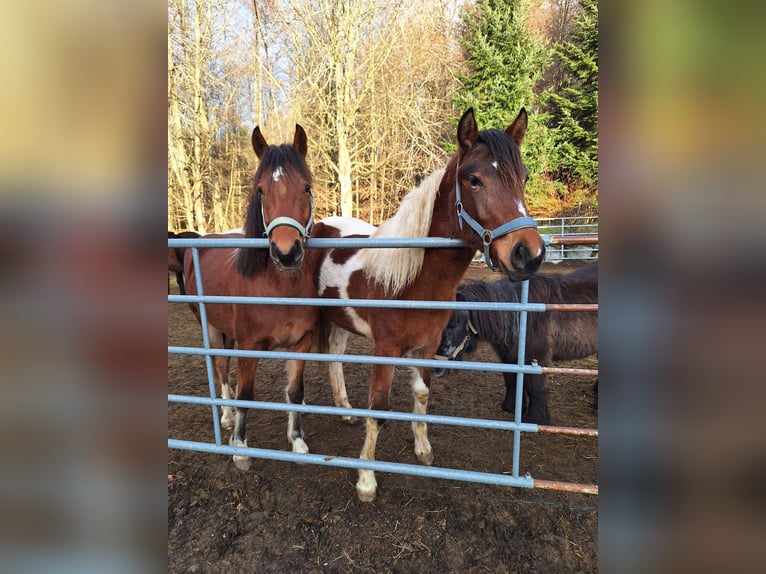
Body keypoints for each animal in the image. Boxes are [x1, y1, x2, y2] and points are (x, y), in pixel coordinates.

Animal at [183, 124, 319, 470]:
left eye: (306, 187)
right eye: (260, 190)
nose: (286, 254)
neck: (279, 289)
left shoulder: (301, 343)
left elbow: (295, 391)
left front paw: (297, 442)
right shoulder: (249, 346)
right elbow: (245, 394)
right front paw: (241, 448)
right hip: (212, 329)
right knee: (221, 370)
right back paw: (227, 418)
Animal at [309, 108, 545, 502]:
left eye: (523, 178)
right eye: (474, 179)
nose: (528, 254)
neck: (413, 279)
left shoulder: (428, 344)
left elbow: (421, 395)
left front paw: (423, 450)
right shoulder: (386, 350)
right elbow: (379, 410)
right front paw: (366, 480)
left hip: (339, 316)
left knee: (335, 358)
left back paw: (345, 410)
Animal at [433, 261, 598, 424]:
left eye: (453, 325)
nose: (436, 369)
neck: (521, 318)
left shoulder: (536, 359)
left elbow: (535, 388)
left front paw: (536, 419)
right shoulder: (508, 356)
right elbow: (511, 379)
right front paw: (511, 407)